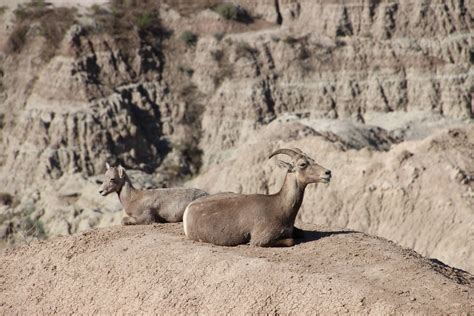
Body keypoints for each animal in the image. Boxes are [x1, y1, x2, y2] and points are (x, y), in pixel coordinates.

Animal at [183, 148, 332, 247]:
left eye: (313, 160)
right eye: (302, 164)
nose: (327, 173)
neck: (280, 206)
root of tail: (188, 210)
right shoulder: (261, 239)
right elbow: (291, 241)